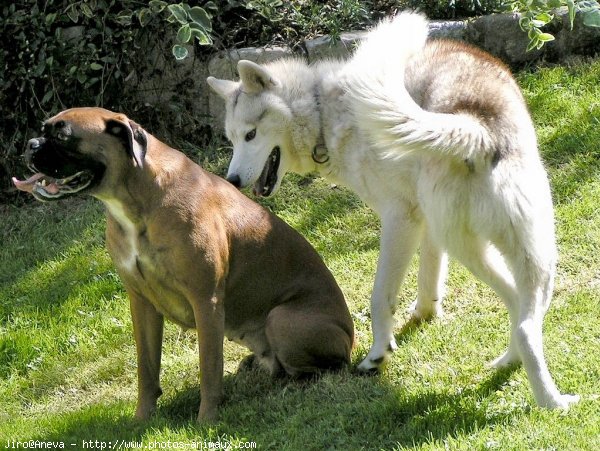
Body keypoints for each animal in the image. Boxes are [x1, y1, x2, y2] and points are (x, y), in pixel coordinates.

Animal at [12, 107, 356, 422]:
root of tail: (349, 334)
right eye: (43, 129)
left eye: (63, 135)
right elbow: (146, 369)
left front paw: (206, 420)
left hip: (282, 319)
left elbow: (209, 368)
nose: (30, 144)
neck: (138, 201)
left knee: (327, 366)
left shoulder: (206, 301)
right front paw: (142, 420)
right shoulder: (141, 303)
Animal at [209, 11, 580, 410]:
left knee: (519, 312)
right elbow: (429, 279)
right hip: (522, 253)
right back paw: (532, 381)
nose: (232, 181)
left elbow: (380, 298)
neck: (323, 110)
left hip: (470, 246)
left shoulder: (400, 220)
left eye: (250, 135)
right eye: (231, 139)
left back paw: (541, 396)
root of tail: (474, 126)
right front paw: (424, 315)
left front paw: (379, 354)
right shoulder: (427, 225)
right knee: (525, 314)